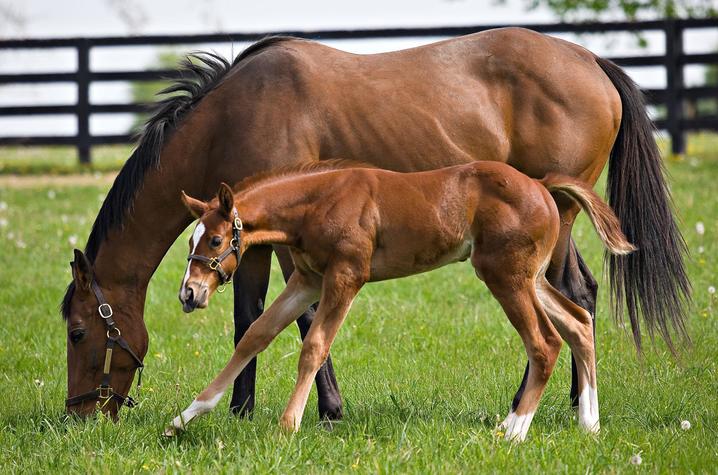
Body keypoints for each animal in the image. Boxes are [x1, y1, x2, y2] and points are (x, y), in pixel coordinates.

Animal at [165, 159, 636, 441]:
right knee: (578, 322)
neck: (318, 203)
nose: (189, 293)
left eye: (216, 240)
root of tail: (540, 185)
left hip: (506, 277)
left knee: (545, 341)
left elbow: (314, 346)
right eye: (190, 240)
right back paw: (589, 423)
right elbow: (255, 336)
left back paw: (513, 431)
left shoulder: (346, 277)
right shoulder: (307, 279)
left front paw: (287, 426)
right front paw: (185, 417)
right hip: (531, 278)